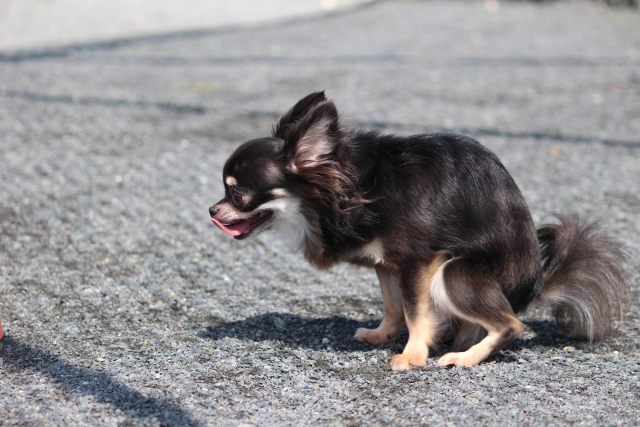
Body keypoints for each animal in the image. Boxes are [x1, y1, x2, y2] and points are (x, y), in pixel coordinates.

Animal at [210, 91, 632, 372]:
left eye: (239, 194)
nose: (212, 209)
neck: (354, 189)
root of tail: (534, 287)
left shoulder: (419, 260)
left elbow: (415, 311)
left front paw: (413, 354)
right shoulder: (386, 263)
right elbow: (393, 305)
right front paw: (383, 335)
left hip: (455, 272)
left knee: (511, 324)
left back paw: (464, 356)